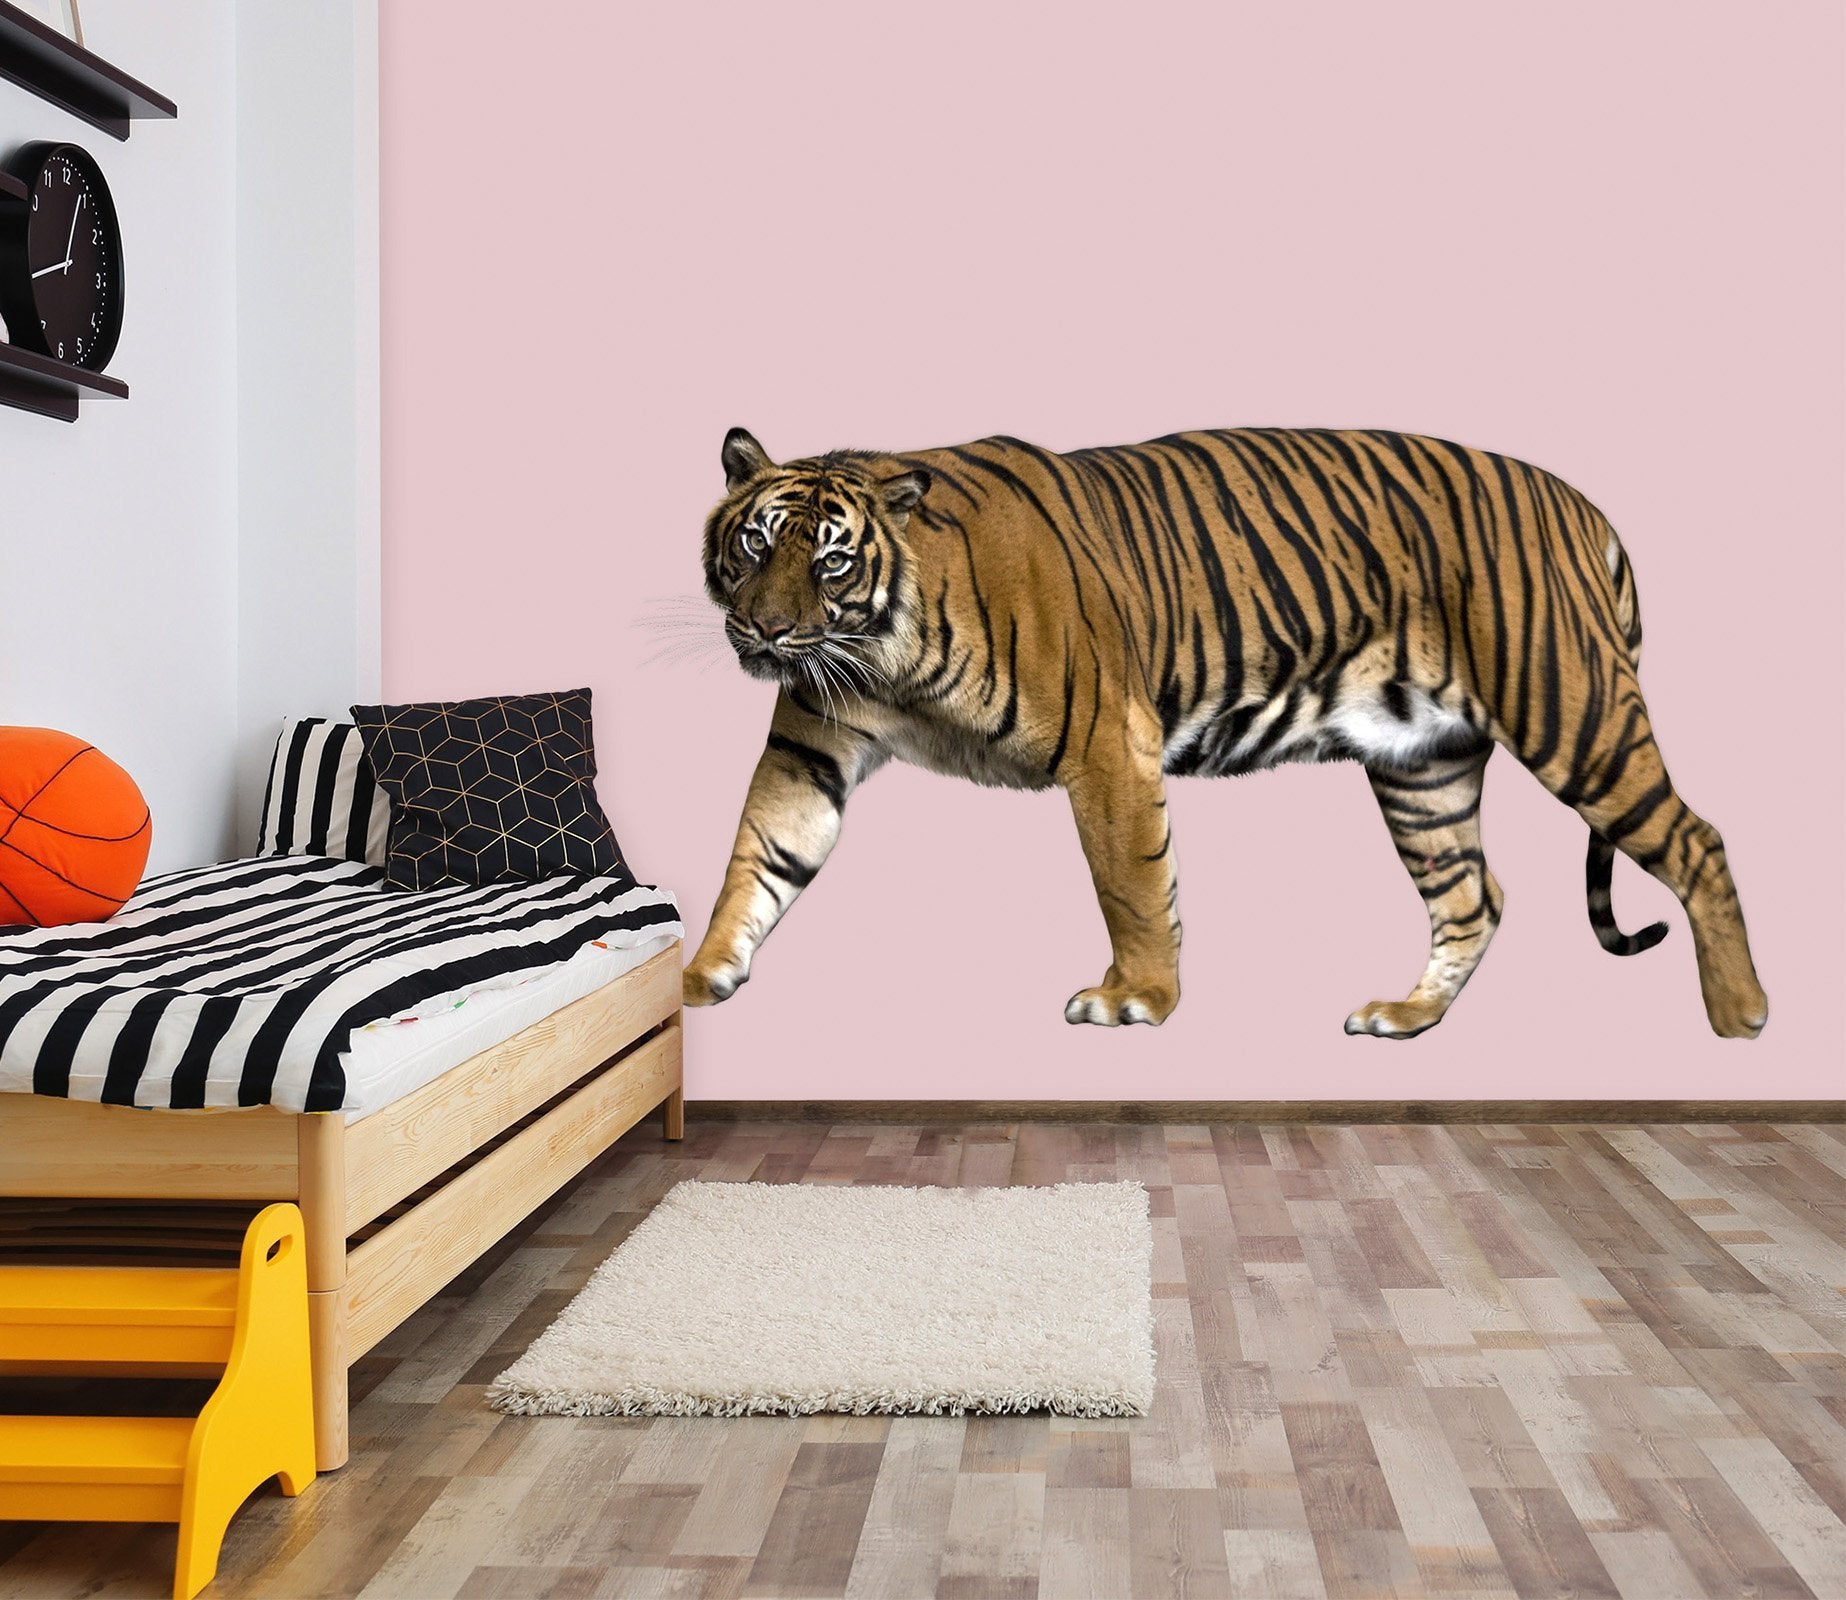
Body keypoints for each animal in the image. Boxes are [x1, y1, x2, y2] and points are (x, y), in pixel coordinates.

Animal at [684, 426, 1766, 1040]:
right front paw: (702, 974)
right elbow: (759, 851)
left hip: (1570, 710)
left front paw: (1136, 1000)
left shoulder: (1107, 743)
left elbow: (1129, 883)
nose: (766, 631)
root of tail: (1583, 507)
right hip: (1424, 765)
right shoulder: (811, 746)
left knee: (1697, 840)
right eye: (754, 544)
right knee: (1475, 894)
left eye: (830, 561)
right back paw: (1406, 1017)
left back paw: (1741, 1015)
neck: (881, 654)